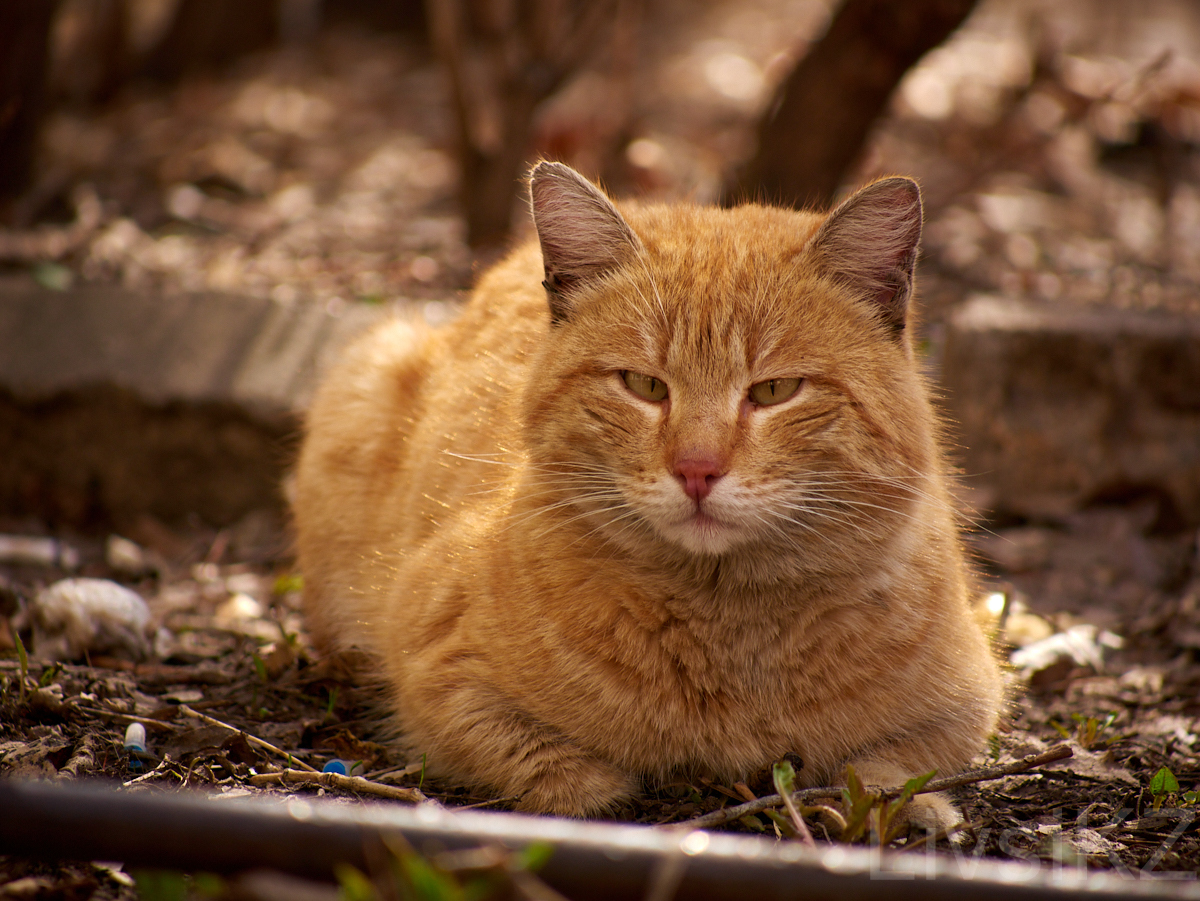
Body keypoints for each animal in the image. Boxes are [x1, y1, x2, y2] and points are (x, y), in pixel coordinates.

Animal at [290, 160, 1003, 825]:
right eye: (645, 385)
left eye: (775, 391)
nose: (696, 469)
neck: (729, 634)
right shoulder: (434, 668)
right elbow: (561, 774)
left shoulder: (971, 700)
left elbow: (892, 767)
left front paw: (917, 807)